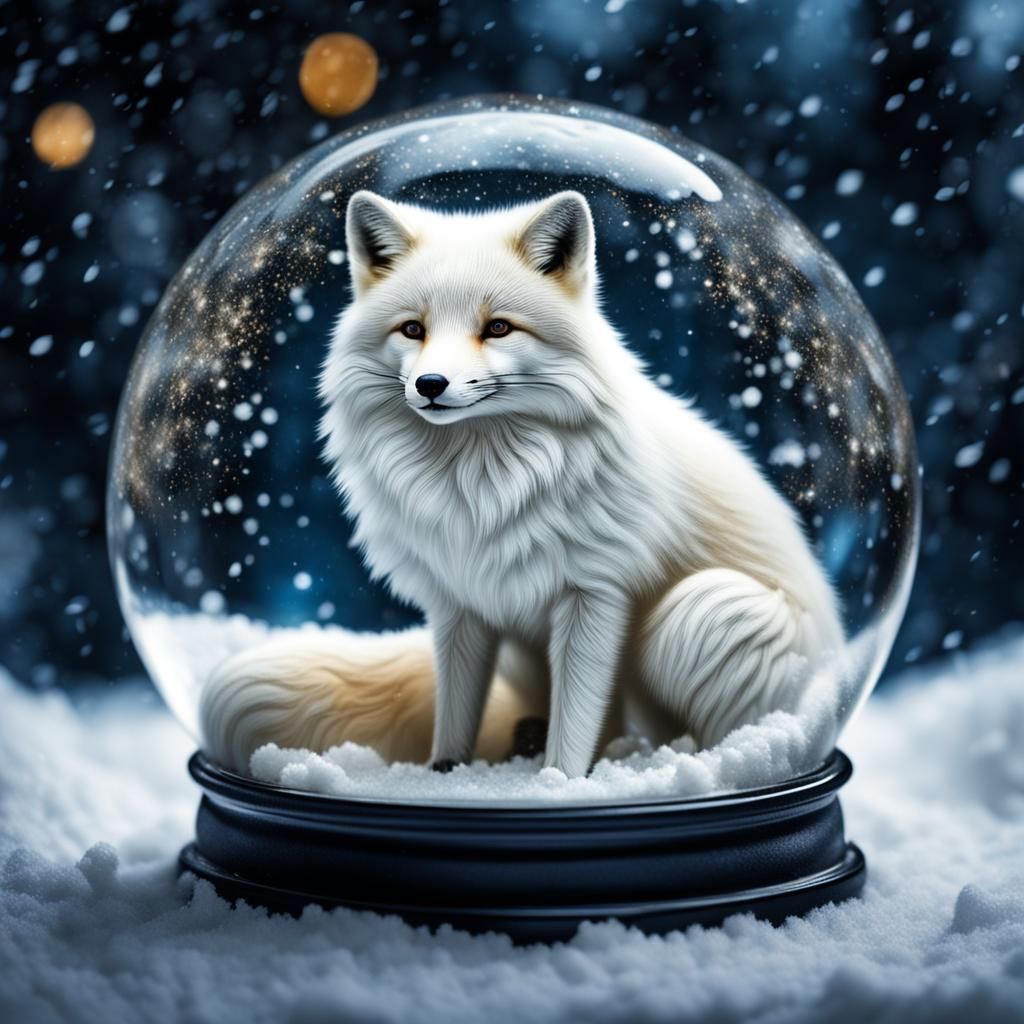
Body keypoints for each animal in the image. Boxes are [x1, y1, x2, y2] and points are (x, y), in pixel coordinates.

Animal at [199, 189, 844, 779]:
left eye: (498, 328)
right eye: (412, 330)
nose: (431, 384)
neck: (480, 484)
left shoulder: (596, 593)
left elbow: (576, 720)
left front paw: (558, 787)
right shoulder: (460, 601)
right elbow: (456, 709)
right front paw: (446, 777)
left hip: (706, 613)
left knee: (690, 726)